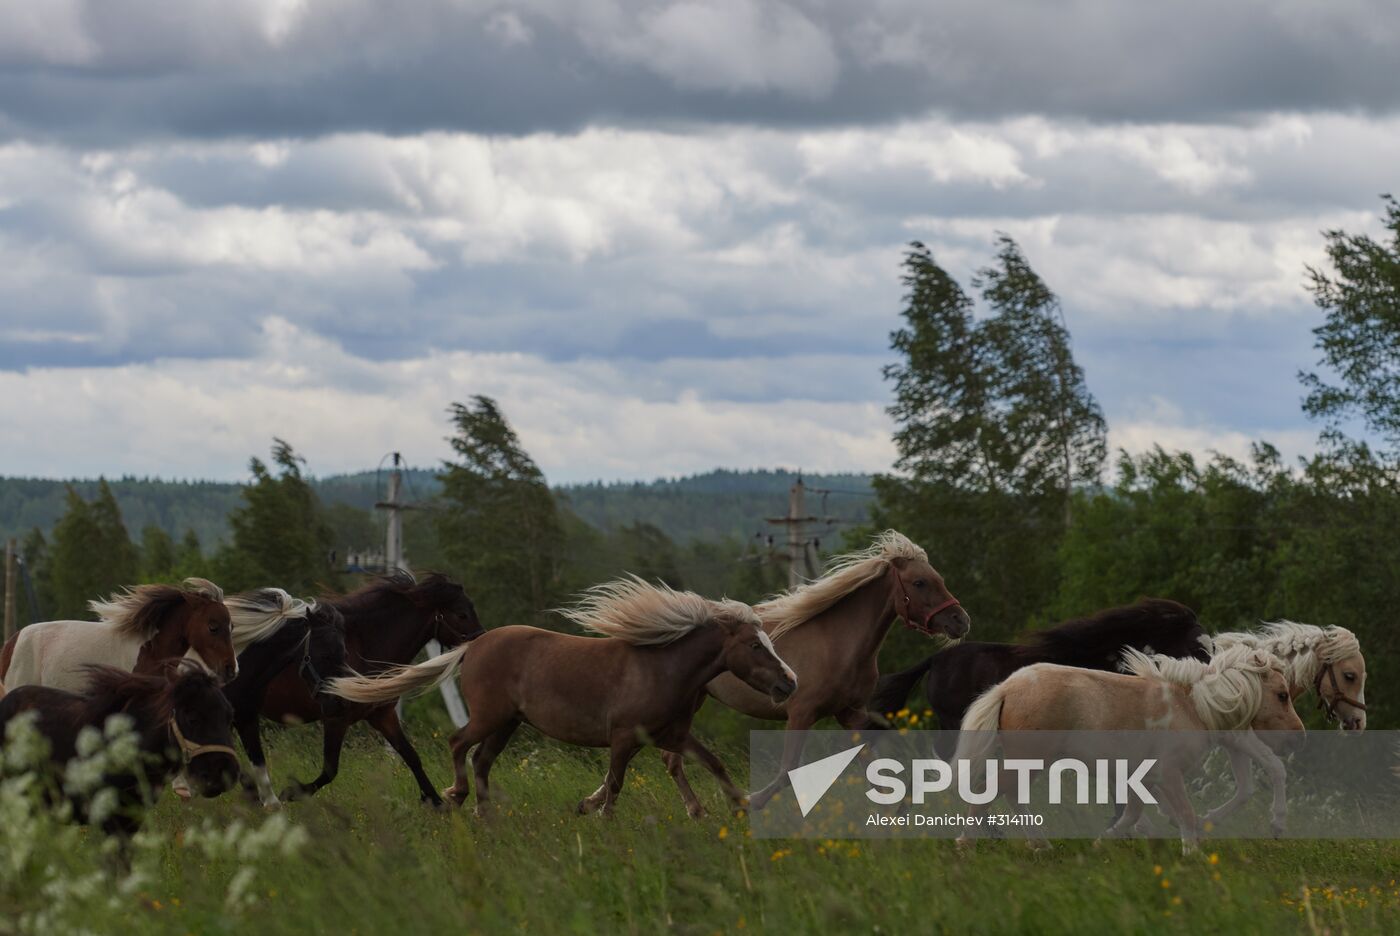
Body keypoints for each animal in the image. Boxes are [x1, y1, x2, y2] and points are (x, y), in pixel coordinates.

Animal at [260, 571, 484, 806]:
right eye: (461, 614)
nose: (481, 642)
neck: (364, 648)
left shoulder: (382, 715)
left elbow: (411, 756)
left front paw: (436, 803)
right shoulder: (335, 718)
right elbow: (330, 770)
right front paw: (291, 793)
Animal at [325, 577, 798, 818]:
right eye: (755, 646)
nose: (789, 683)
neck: (661, 667)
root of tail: (472, 647)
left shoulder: (670, 736)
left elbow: (712, 764)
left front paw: (740, 805)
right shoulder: (623, 738)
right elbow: (615, 784)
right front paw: (603, 821)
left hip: (509, 723)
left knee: (481, 759)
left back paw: (484, 814)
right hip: (491, 716)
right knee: (459, 744)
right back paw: (457, 796)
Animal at [664, 530, 970, 811]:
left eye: (939, 579)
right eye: (919, 582)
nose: (961, 621)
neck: (837, 643)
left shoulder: (850, 713)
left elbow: (871, 765)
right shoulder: (801, 713)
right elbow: (787, 771)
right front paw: (751, 802)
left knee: (672, 758)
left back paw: (697, 812)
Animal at [953, 644, 1304, 854]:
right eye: (1282, 694)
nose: (1298, 737)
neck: (1192, 705)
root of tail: (1006, 688)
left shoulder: (1141, 777)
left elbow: (1134, 812)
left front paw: (1103, 841)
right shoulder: (1167, 774)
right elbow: (1185, 813)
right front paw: (1192, 852)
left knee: (1011, 794)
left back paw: (1041, 845)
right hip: (1030, 758)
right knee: (989, 790)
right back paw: (965, 843)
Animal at [1198, 621, 1366, 835]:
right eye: (1349, 676)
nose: (1360, 722)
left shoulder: (1234, 743)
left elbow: (1245, 789)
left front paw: (1204, 821)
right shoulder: (1240, 737)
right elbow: (1276, 768)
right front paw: (1278, 820)